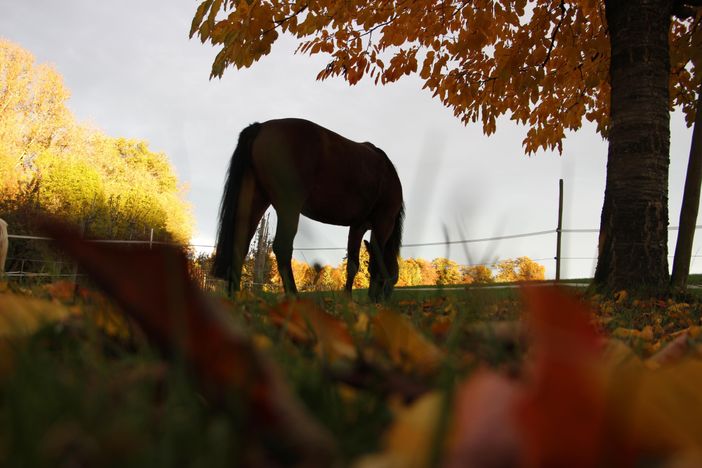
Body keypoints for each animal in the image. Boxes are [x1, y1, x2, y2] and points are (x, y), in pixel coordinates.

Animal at [212, 117, 404, 300]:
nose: (381, 298)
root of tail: (262, 127)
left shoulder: (357, 226)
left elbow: (353, 264)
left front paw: (348, 299)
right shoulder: (383, 223)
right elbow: (375, 262)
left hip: (256, 201)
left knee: (240, 244)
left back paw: (236, 296)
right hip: (289, 207)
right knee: (282, 247)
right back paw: (294, 296)